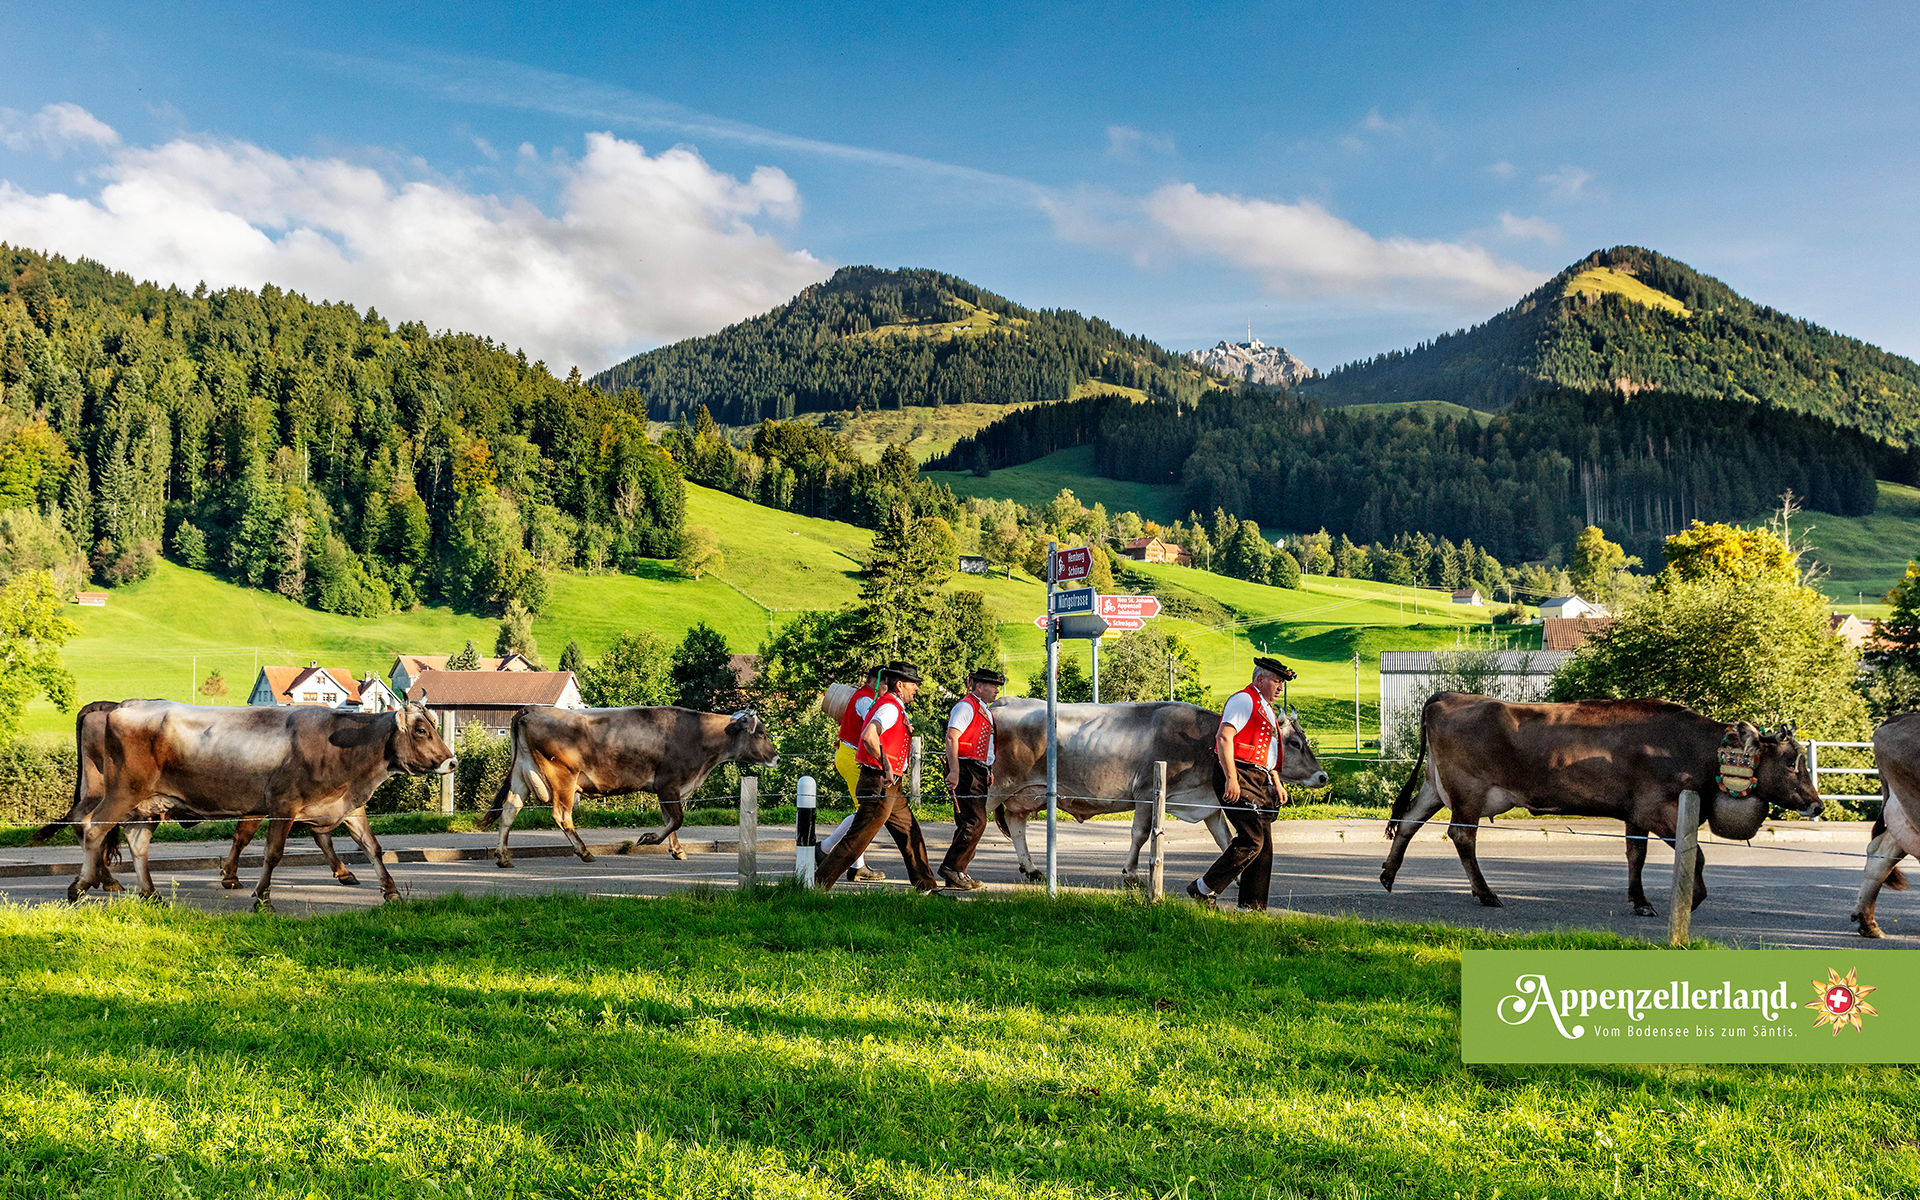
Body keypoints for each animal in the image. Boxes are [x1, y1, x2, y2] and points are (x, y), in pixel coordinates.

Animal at [65, 699, 455, 910]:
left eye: (434, 726)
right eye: (421, 730)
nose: (451, 762)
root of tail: (122, 706)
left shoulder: (348, 805)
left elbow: (373, 847)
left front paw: (390, 891)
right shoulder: (283, 804)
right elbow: (272, 853)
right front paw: (262, 898)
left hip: (147, 804)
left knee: (136, 842)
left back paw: (149, 894)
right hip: (122, 792)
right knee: (92, 827)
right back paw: (81, 885)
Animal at [479, 706, 779, 868]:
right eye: (762, 733)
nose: (776, 758)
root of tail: (530, 708)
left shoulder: (670, 789)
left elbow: (670, 819)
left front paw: (677, 850)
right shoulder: (669, 784)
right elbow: (676, 819)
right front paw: (649, 839)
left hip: (522, 773)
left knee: (509, 812)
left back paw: (503, 857)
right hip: (563, 776)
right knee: (562, 815)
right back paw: (585, 852)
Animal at [983, 699, 1329, 884]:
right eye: (1295, 743)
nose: (1323, 776)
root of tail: (1000, 702)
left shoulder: (1209, 804)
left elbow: (1225, 839)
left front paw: (1239, 876)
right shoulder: (1146, 792)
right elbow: (1140, 834)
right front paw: (1131, 874)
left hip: (1022, 795)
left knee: (1016, 826)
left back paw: (1031, 869)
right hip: (995, 788)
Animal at [1381, 692, 1823, 912]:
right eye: (1791, 761)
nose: (1817, 805)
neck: (1693, 747)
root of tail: (1448, 696)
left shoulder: (1636, 811)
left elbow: (1635, 855)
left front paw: (1639, 900)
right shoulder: (1658, 809)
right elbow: (1694, 856)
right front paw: (1692, 900)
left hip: (1436, 786)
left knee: (1409, 822)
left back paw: (1388, 875)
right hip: (1468, 792)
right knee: (1461, 837)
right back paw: (1487, 894)